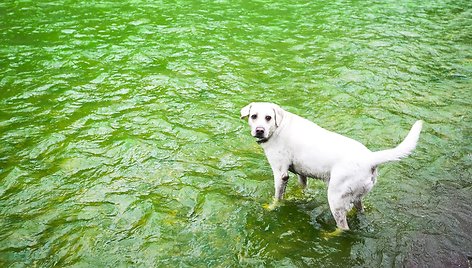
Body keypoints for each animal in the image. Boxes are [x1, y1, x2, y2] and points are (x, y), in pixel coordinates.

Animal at [242, 102, 422, 230]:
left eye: (268, 117)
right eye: (254, 116)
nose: (259, 130)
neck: (279, 128)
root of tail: (370, 158)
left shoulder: (281, 174)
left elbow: (278, 197)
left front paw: (272, 207)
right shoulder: (301, 173)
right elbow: (302, 187)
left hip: (335, 197)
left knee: (344, 227)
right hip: (356, 196)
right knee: (359, 209)